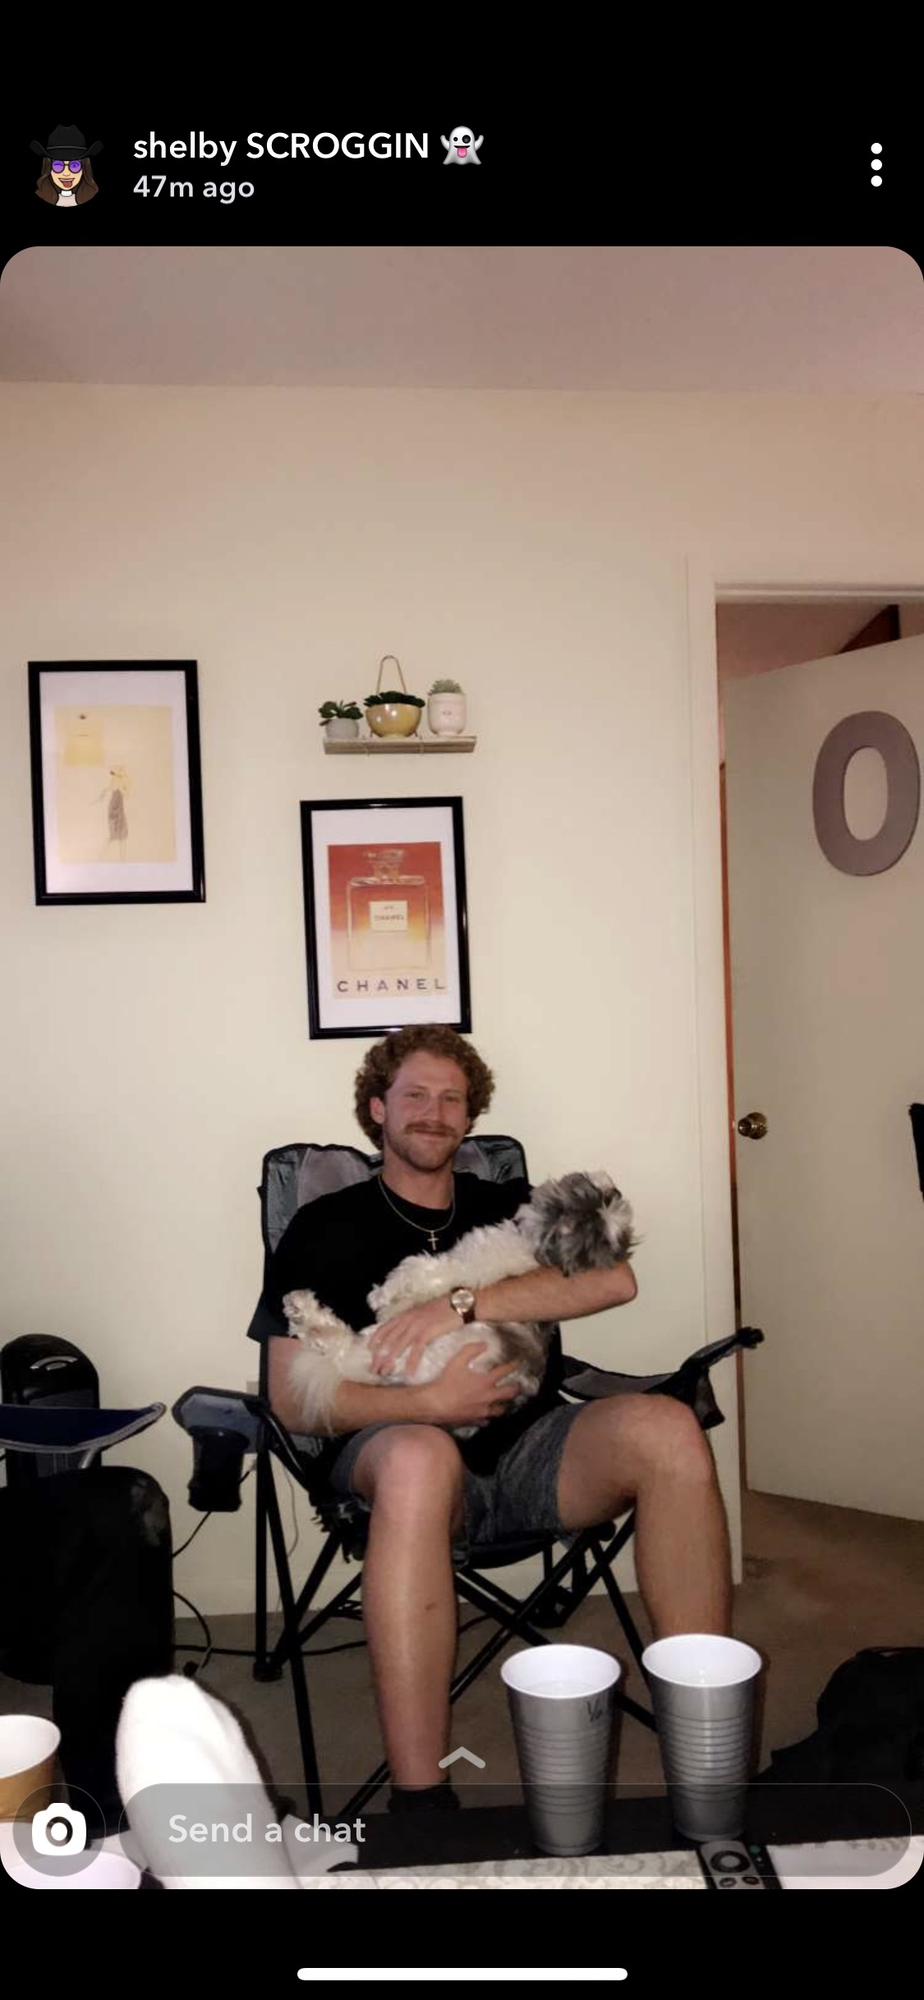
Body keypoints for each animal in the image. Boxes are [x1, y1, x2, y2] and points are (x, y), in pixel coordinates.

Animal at [282, 1171, 636, 1439]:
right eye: (589, 1193)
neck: (538, 1253)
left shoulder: (456, 1266)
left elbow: (415, 1269)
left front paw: (381, 1295)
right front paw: (391, 1303)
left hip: (400, 1349)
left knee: (340, 1348)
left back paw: (304, 1311)